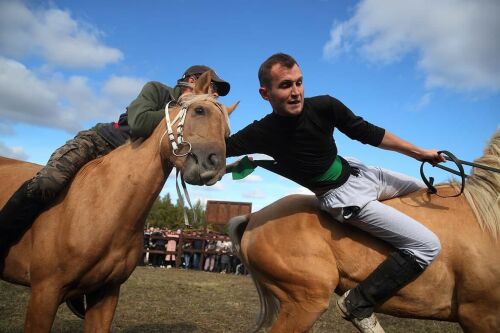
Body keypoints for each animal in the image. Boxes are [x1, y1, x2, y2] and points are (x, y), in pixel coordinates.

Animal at [0, 71, 238, 330]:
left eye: (227, 134)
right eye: (199, 111)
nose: (214, 167)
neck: (104, 206)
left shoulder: (106, 294)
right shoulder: (44, 292)